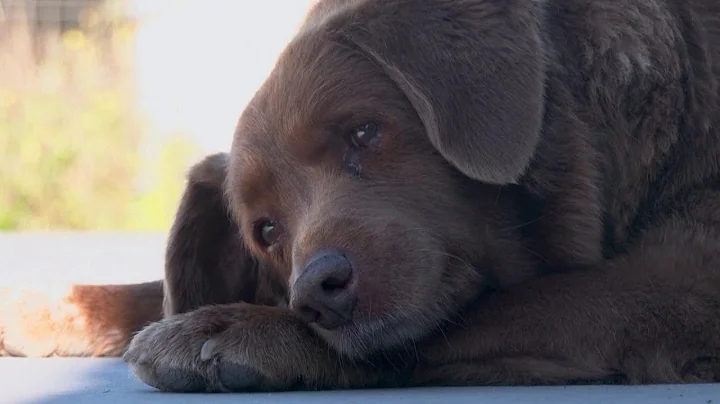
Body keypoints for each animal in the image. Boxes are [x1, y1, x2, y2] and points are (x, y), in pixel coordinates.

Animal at [1, 0, 720, 392]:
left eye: (365, 131)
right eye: (267, 231)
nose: (315, 291)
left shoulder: (683, 283)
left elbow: (498, 308)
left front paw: (238, 328)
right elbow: (151, 289)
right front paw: (40, 307)